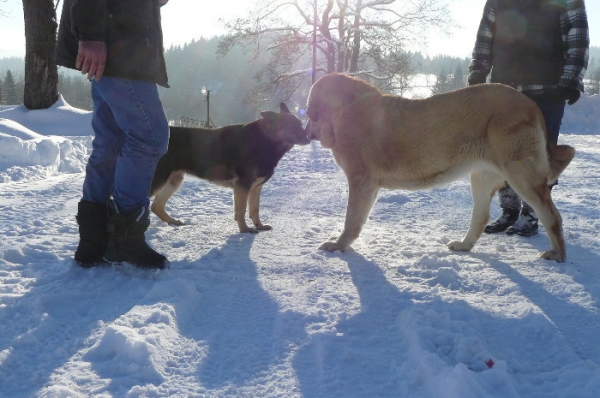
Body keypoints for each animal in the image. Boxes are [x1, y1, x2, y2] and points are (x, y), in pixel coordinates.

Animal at [150, 102, 310, 232]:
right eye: (291, 126)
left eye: (300, 124)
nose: (309, 137)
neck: (265, 139)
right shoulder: (243, 186)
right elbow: (241, 211)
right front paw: (244, 229)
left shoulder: (255, 188)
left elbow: (254, 209)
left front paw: (259, 226)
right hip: (159, 180)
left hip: (174, 181)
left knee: (156, 206)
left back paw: (173, 222)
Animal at [308, 73, 576, 262]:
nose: (307, 130)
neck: (347, 107)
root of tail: (531, 104)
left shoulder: (361, 181)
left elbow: (351, 219)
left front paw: (339, 246)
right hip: (482, 176)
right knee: (481, 216)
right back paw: (464, 245)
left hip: (520, 174)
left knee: (551, 215)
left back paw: (558, 255)